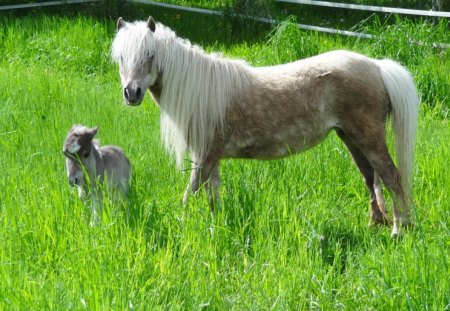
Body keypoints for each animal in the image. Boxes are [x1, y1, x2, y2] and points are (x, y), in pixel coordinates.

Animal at [111, 16, 418, 236]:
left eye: (150, 55)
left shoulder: (205, 156)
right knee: (370, 178)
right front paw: (216, 227)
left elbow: (192, 192)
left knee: (391, 177)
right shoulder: (211, 157)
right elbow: (212, 196)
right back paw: (376, 225)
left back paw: (399, 230)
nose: (131, 93)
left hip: (368, 138)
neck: (199, 87)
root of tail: (376, 66)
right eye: (121, 58)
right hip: (351, 138)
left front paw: (181, 224)